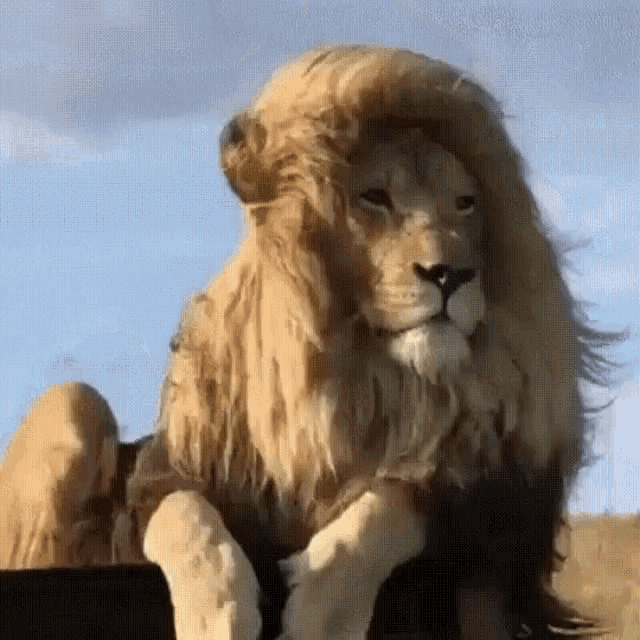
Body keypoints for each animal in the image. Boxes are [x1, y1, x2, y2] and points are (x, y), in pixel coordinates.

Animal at [6, 45, 617, 639]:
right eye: (375, 197)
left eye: (467, 204)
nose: (451, 274)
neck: (364, 377)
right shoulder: (162, 475)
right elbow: (189, 518)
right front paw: (217, 617)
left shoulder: (478, 512)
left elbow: (388, 502)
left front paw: (323, 613)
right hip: (73, 401)